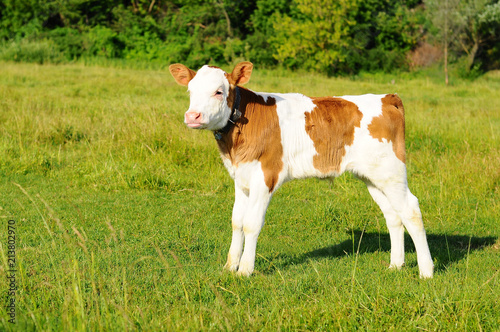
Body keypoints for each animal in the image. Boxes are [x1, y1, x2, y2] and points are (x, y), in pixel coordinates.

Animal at [169, 61, 434, 278]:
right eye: (190, 91)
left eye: (219, 91)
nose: (193, 116)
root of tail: (386, 97)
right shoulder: (241, 178)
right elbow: (237, 221)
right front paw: (229, 266)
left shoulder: (265, 176)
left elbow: (251, 223)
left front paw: (244, 270)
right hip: (373, 176)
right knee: (393, 215)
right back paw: (396, 265)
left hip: (391, 172)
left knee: (410, 210)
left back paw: (426, 270)